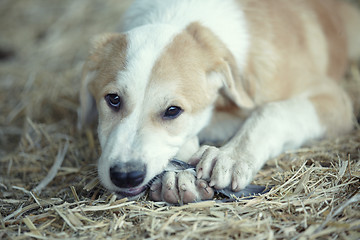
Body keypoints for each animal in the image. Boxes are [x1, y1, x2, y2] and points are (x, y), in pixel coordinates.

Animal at [79, 0, 360, 203]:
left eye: (173, 111)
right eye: (113, 99)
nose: (126, 176)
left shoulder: (332, 98)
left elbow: (271, 112)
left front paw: (230, 156)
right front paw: (179, 176)